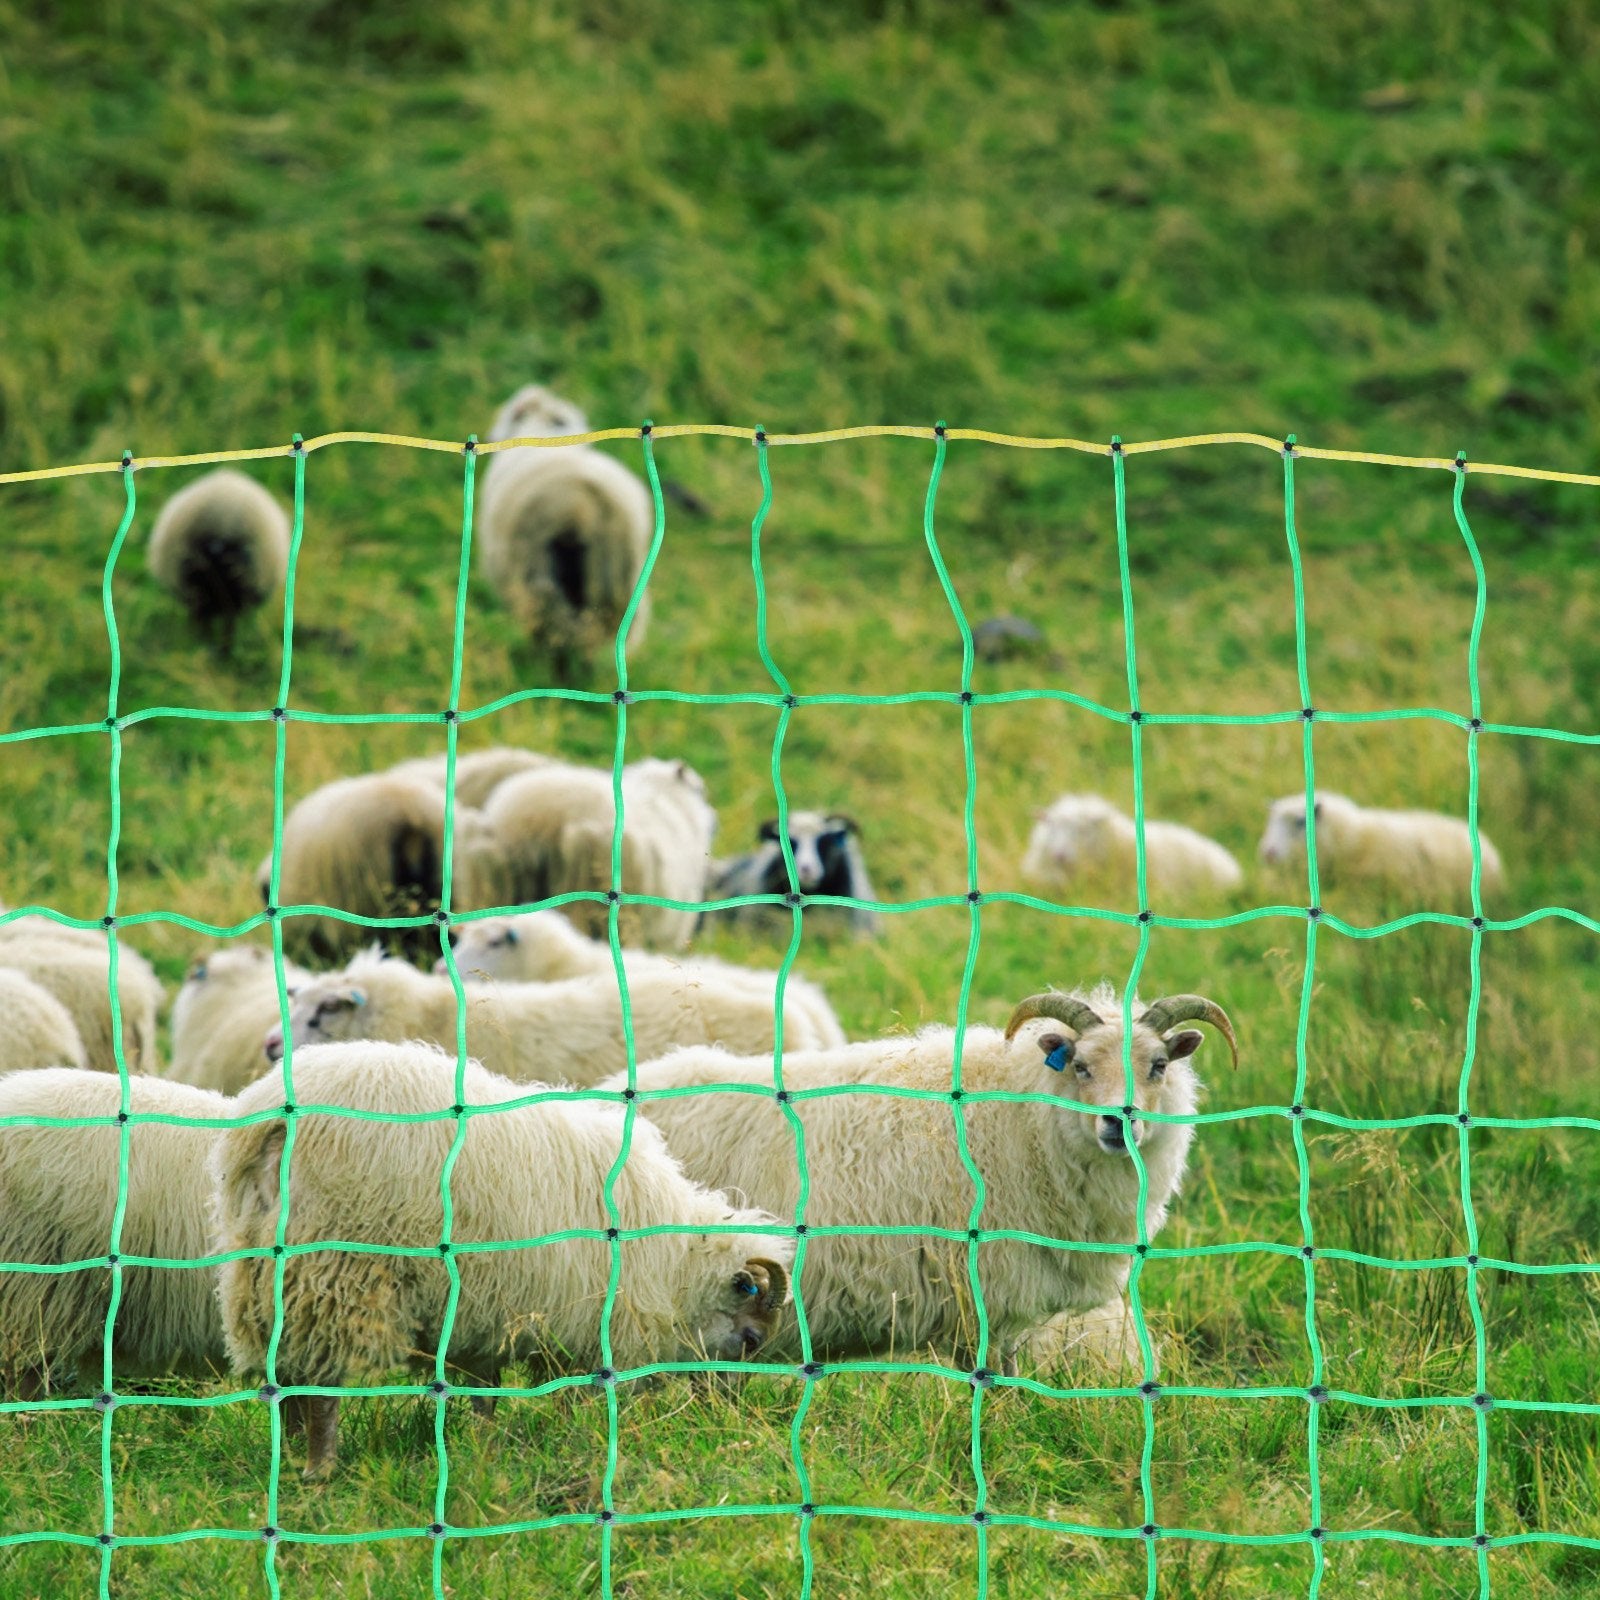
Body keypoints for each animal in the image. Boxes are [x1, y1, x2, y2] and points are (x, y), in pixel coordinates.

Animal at [213, 1040, 794, 1479]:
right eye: (751, 1340)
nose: (725, 1415)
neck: (671, 1264)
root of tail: (269, 1123)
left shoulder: (485, 1313)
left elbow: (484, 1392)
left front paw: (483, 1450)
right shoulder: (568, 1316)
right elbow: (559, 1395)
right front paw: (563, 1438)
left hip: (261, 1271)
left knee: (286, 1369)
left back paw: (289, 1453)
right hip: (338, 1266)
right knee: (320, 1384)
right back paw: (320, 1467)